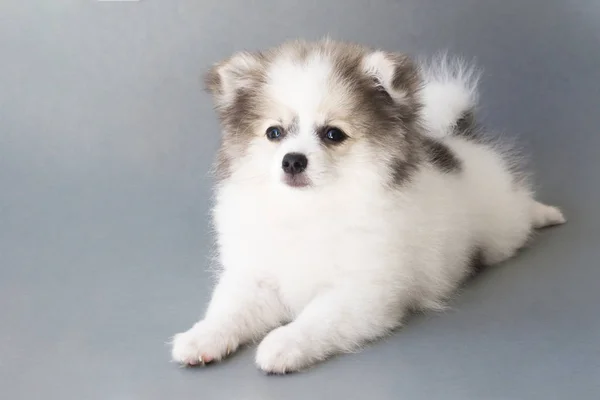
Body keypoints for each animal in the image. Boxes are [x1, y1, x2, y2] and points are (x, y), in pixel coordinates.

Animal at [170, 39, 568, 374]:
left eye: (333, 134)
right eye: (274, 133)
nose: (292, 160)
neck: (308, 209)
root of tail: (457, 141)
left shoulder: (365, 290)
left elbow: (318, 317)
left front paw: (284, 343)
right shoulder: (255, 275)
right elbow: (229, 310)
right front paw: (201, 337)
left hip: (502, 227)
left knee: (519, 214)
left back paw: (545, 213)